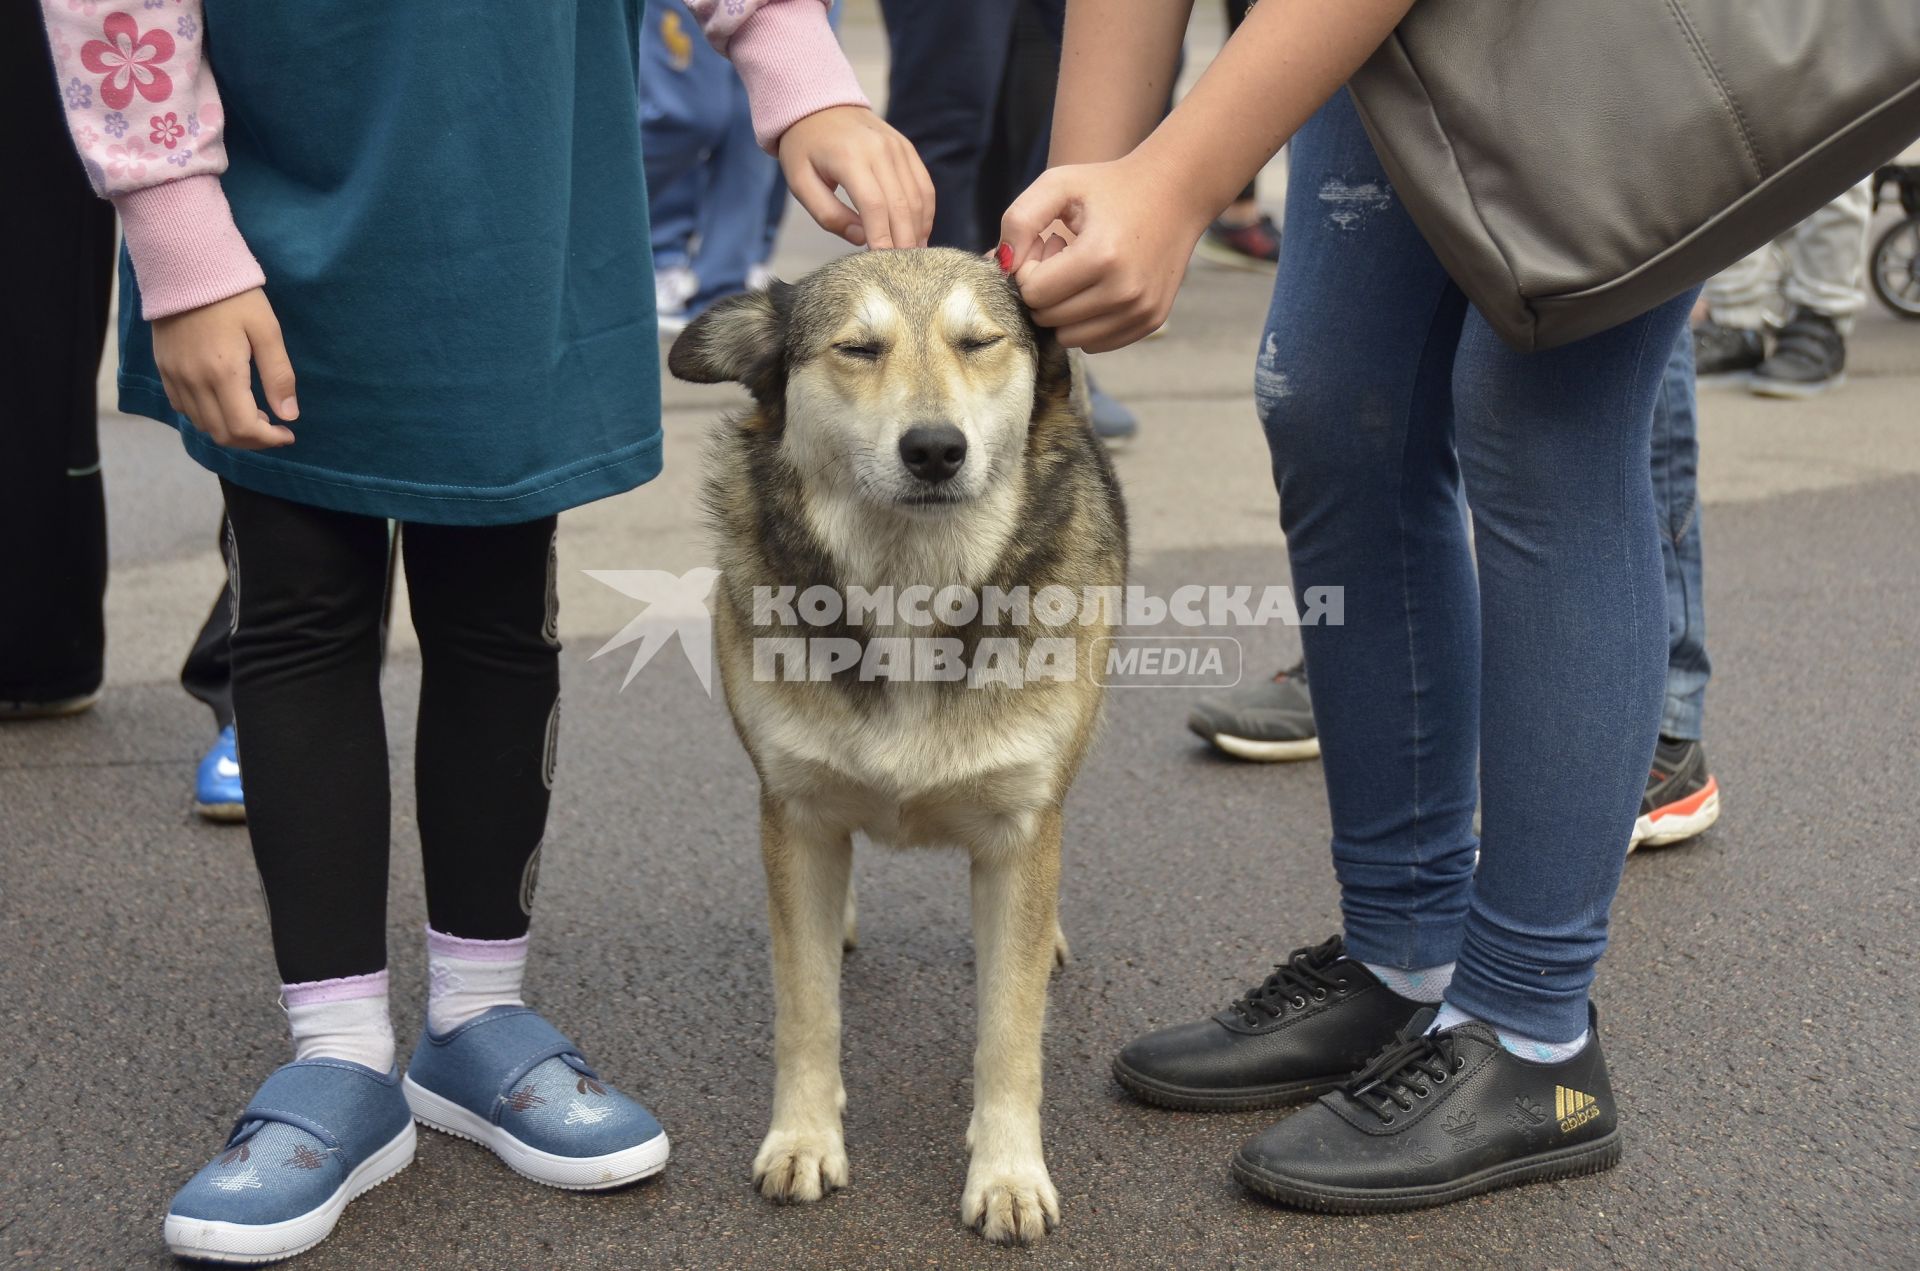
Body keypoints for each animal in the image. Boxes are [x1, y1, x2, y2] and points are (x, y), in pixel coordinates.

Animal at [672, 245, 1121, 1244]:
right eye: (857, 348)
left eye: (980, 342)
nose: (935, 449)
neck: (911, 583)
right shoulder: (794, 814)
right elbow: (805, 1010)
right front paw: (803, 1139)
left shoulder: (1023, 829)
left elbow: (1010, 1031)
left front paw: (1007, 1173)